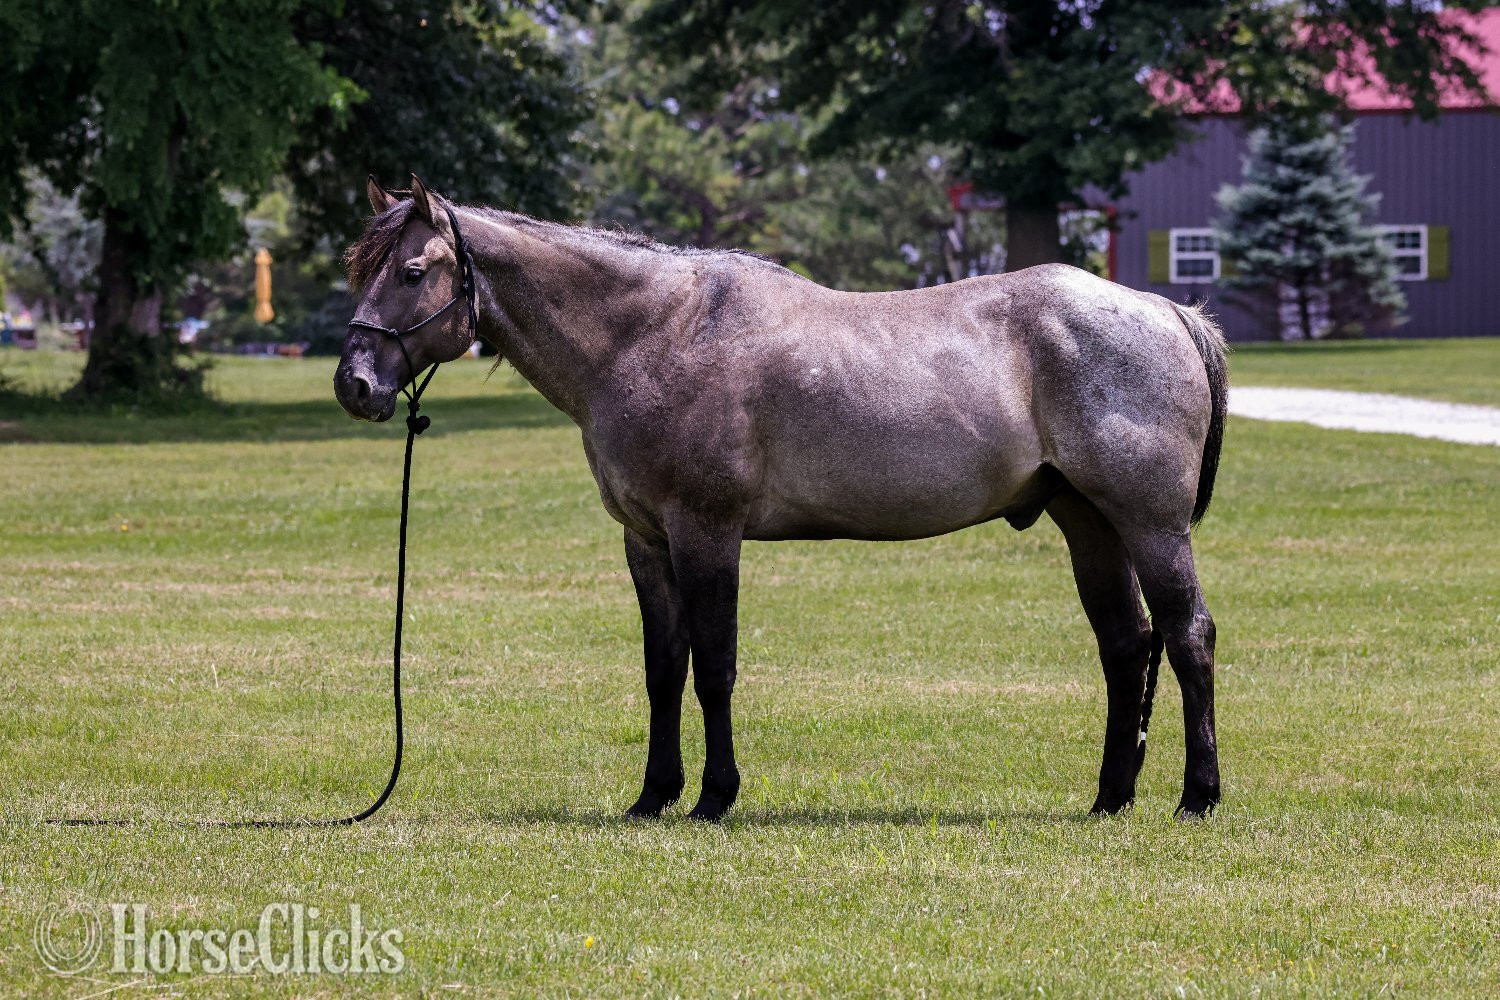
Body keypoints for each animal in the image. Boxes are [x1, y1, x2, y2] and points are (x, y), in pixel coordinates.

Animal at [335, 175, 1228, 822]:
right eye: (360, 270)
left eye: (411, 272)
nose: (355, 384)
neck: (653, 333)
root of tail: (1166, 309)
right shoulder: (646, 541)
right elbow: (664, 669)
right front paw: (654, 795)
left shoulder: (707, 532)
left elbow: (714, 666)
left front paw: (714, 798)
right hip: (1089, 523)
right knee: (1126, 646)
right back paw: (1111, 798)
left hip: (1151, 526)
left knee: (1188, 637)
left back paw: (1197, 797)